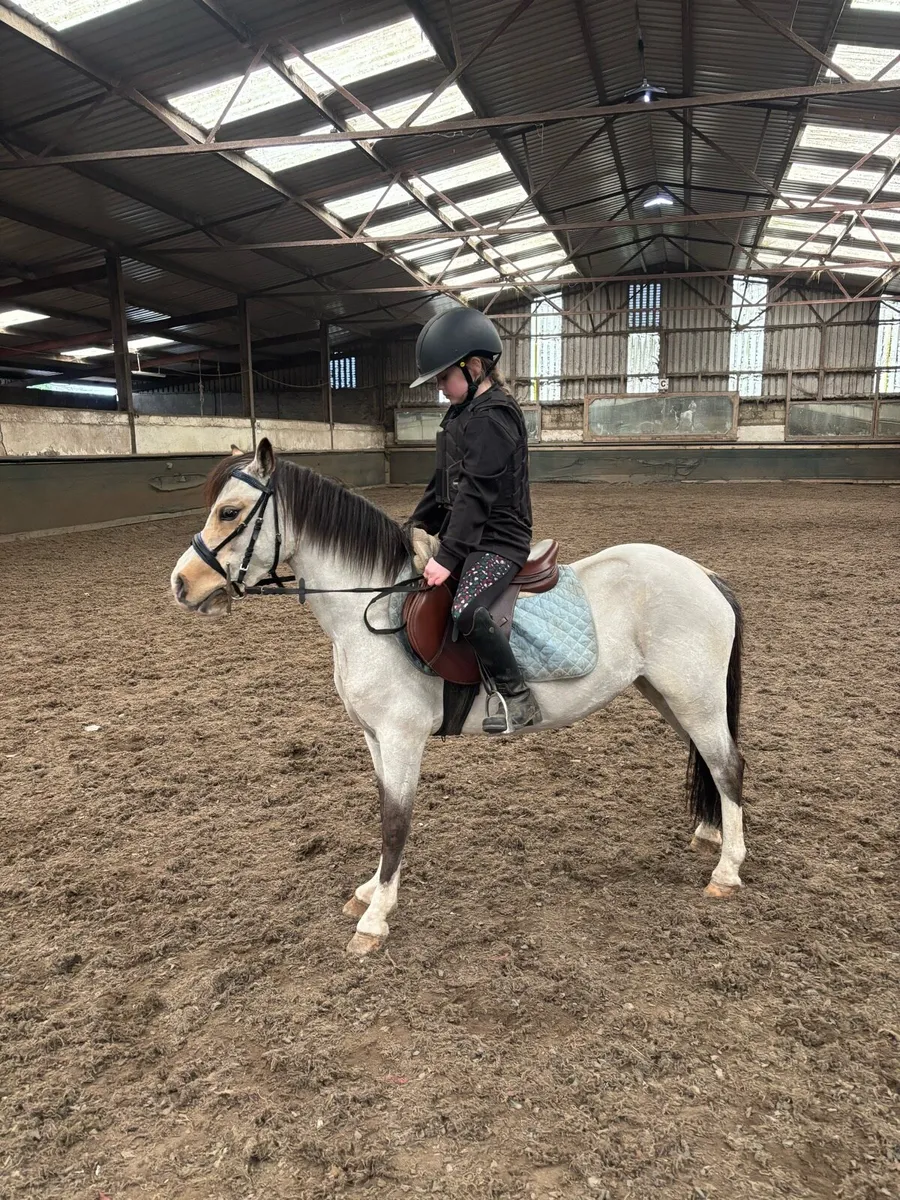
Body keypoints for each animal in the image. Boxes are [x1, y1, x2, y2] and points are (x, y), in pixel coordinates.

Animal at [171, 439, 746, 957]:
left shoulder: (402, 738)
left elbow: (395, 821)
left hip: (694, 698)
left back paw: (727, 871)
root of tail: (703, 574)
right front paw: (370, 892)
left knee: (728, 766)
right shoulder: (375, 737)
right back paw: (708, 834)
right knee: (709, 761)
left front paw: (376, 919)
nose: (180, 584)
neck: (374, 609)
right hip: (671, 698)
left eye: (229, 511)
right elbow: (386, 810)